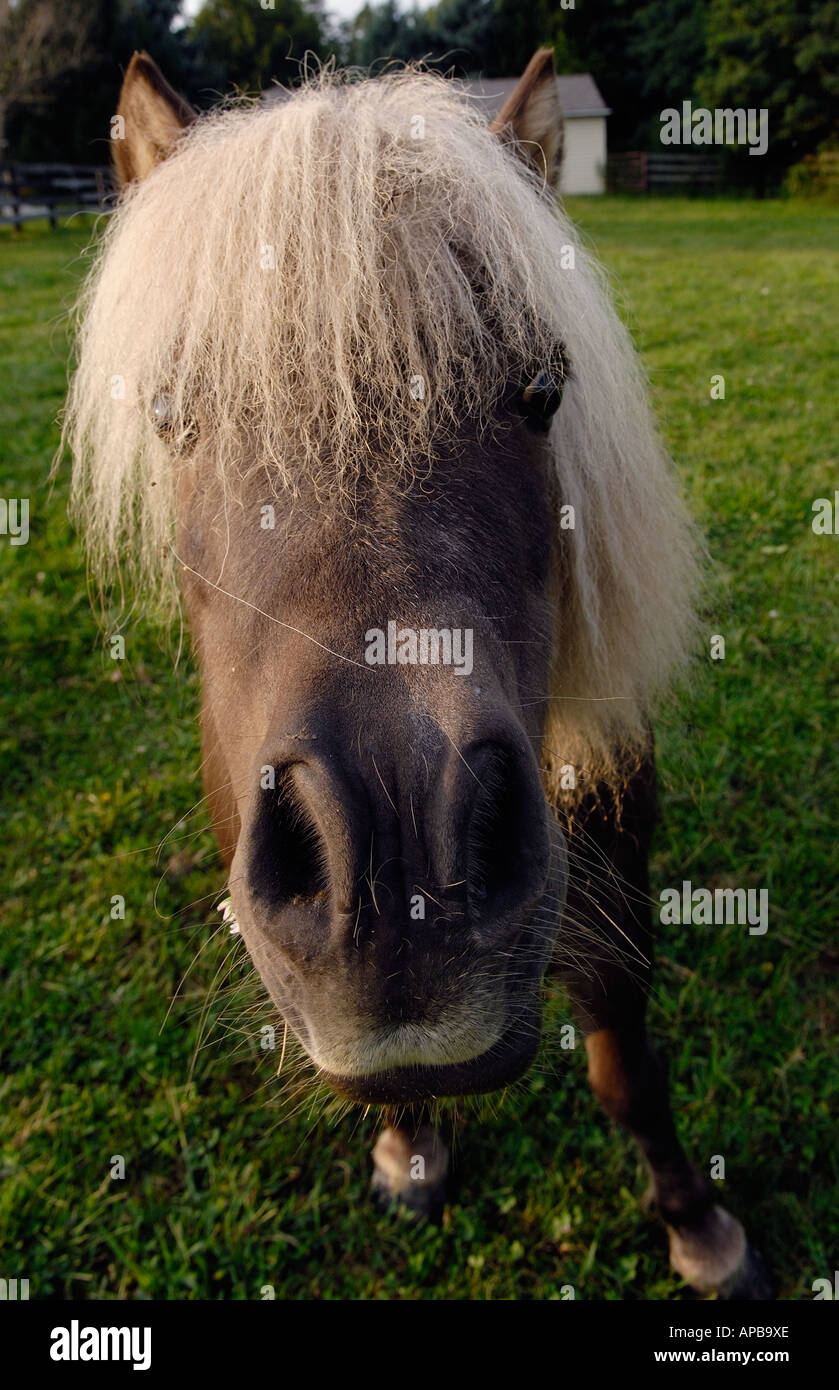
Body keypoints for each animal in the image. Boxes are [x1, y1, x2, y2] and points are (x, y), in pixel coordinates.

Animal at [63, 47, 770, 1298]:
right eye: (170, 413)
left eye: (539, 392)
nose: (397, 859)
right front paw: (408, 1150)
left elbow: (623, 1058)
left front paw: (697, 1221)